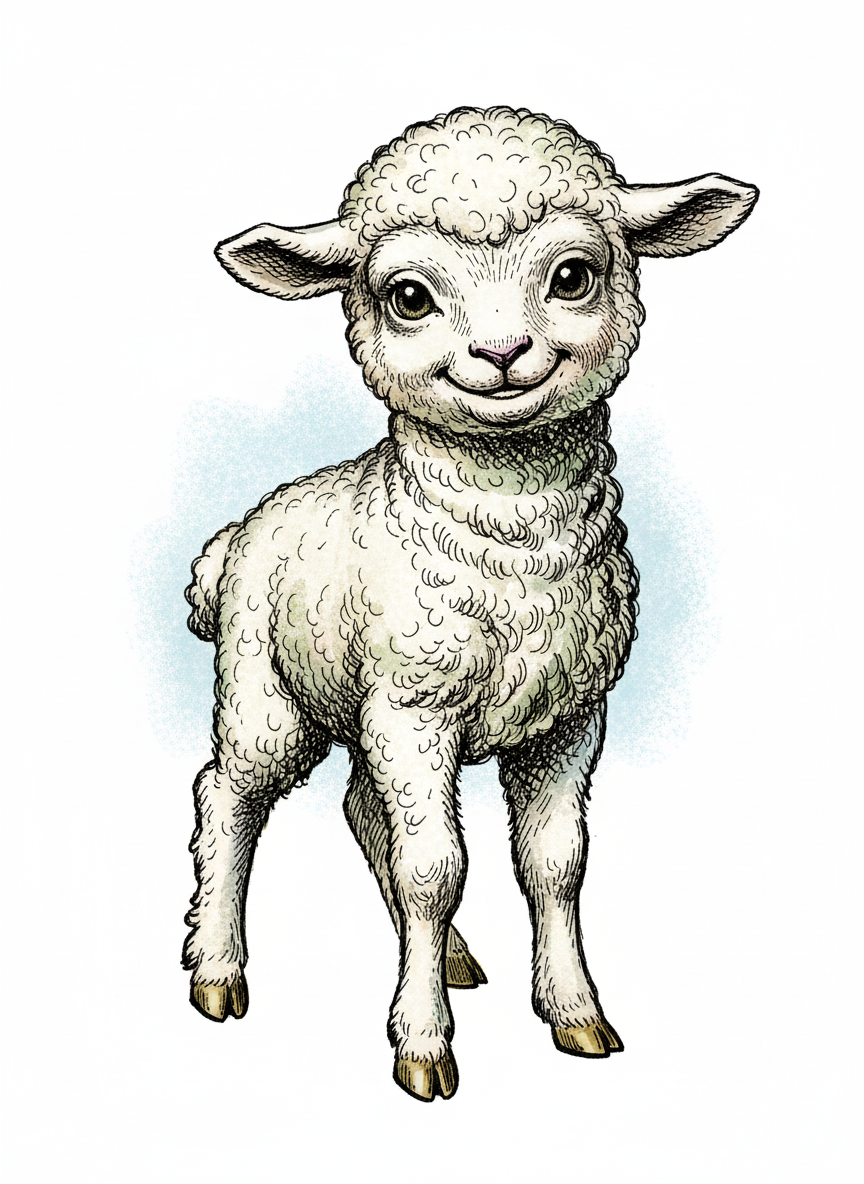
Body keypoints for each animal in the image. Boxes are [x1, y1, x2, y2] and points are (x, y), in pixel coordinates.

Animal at [183, 106, 757, 1101]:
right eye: (409, 296)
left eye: (573, 276)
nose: (501, 355)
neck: (516, 547)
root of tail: (234, 539)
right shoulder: (414, 708)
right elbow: (434, 868)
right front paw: (422, 1045)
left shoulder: (568, 716)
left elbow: (555, 864)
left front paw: (576, 1013)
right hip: (266, 689)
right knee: (230, 795)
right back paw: (218, 971)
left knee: (360, 808)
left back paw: (449, 956)